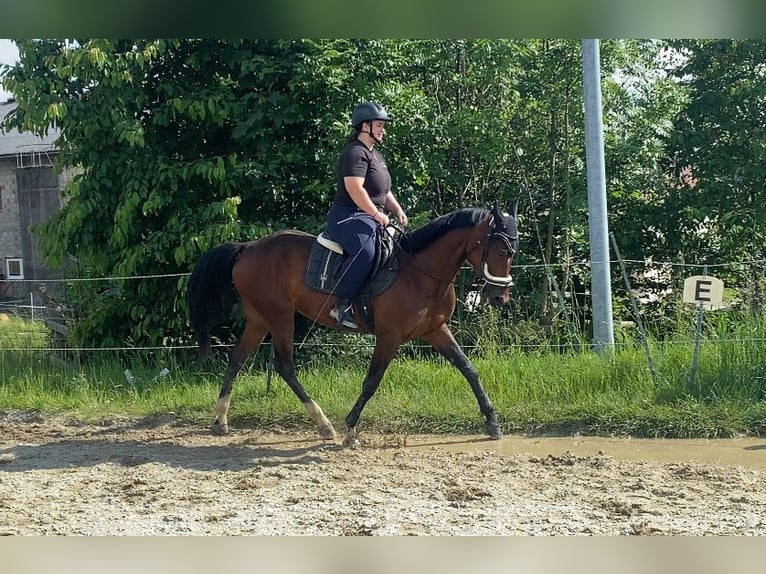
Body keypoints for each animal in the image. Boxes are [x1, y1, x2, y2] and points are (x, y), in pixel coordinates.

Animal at [188, 204, 520, 450]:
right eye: (501, 251)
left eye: (511, 252)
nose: (500, 297)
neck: (419, 272)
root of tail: (248, 247)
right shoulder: (389, 337)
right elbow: (371, 381)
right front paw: (350, 429)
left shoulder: (436, 330)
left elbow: (469, 370)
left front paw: (492, 423)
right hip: (280, 316)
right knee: (285, 367)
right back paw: (324, 424)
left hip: (259, 318)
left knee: (237, 359)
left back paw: (221, 420)